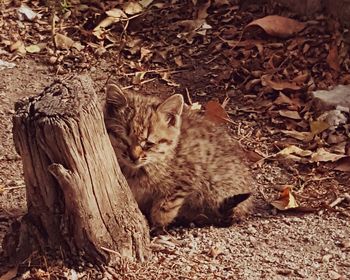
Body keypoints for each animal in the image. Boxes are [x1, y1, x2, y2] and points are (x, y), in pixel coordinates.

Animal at [104, 83, 254, 232]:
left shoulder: (186, 179)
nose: (133, 157)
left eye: (148, 144)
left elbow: (164, 208)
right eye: (124, 140)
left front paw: (157, 226)